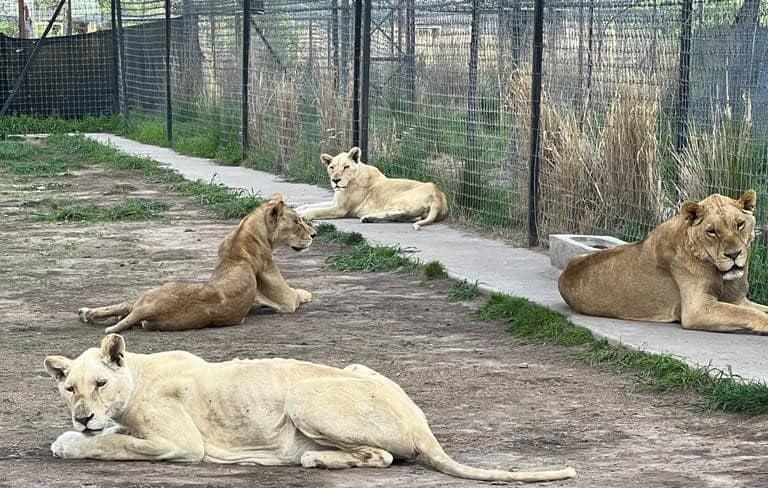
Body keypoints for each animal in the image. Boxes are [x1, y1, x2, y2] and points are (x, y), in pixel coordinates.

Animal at [43, 334, 576, 482]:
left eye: (100, 383)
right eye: (68, 388)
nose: (82, 416)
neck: (135, 377)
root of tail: (423, 426)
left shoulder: (182, 444)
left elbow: (115, 446)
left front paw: (69, 442)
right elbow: (114, 437)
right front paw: (82, 432)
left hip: (302, 396)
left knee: (382, 456)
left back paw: (312, 459)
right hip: (357, 367)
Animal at [77, 193, 316, 334]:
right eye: (297, 222)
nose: (314, 234)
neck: (242, 235)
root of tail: (149, 308)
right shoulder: (286, 299)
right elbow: (300, 293)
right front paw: (307, 293)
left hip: (147, 299)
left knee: (126, 306)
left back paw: (88, 313)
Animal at [296, 147, 450, 231]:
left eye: (346, 167)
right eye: (331, 167)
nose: (335, 180)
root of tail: (438, 195)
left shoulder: (341, 209)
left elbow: (316, 210)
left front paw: (301, 215)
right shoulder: (335, 202)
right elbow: (309, 205)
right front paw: (296, 209)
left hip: (398, 199)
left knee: (399, 212)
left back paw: (367, 217)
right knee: (403, 216)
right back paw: (368, 219)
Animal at [560, 189, 768, 334]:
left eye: (740, 224)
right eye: (711, 231)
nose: (734, 254)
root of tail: (564, 273)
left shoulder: (737, 300)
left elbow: (758, 310)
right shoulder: (697, 309)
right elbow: (747, 314)